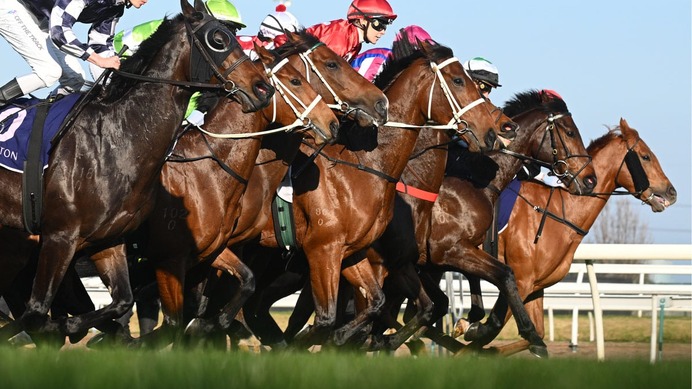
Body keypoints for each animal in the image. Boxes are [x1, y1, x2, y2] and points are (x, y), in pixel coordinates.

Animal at [0, 0, 274, 342]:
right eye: (219, 40)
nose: (262, 89)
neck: (116, 138)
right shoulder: (61, 238)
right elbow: (37, 313)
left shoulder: (109, 242)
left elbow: (124, 301)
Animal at [243, 37, 520, 348]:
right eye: (459, 80)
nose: (496, 131)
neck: (367, 166)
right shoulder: (328, 250)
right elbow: (337, 317)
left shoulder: (376, 257)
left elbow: (399, 306)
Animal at [448, 117, 676, 354]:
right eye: (645, 156)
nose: (672, 192)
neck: (558, 212)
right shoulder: (520, 279)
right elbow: (491, 329)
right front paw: (468, 331)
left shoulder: (535, 286)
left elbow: (537, 334)